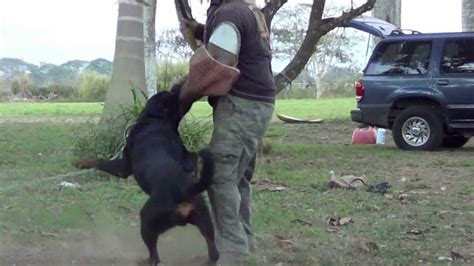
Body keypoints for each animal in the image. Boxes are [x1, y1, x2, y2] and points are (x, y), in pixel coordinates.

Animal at [72, 88, 218, 264]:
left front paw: (80, 162)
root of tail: (183, 191)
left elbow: (99, 161)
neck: (154, 120)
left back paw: (146, 260)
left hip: (148, 221)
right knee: (213, 249)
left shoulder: (123, 168)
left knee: (154, 256)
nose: (179, 89)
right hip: (205, 219)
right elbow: (193, 158)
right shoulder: (186, 157)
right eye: (174, 96)